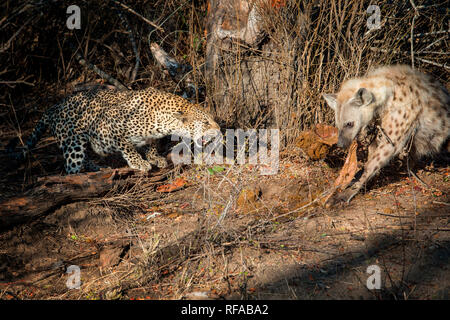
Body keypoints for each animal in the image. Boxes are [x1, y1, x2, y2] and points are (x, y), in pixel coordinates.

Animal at [21, 86, 221, 174]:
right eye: (205, 122)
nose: (219, 129)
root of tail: (53, 108)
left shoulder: (151, 136)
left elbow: (151, 144)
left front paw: (155, 157)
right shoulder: (112, 126)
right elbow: (128, 147)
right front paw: (139, 162)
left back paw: (97, 168)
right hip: (73, 143)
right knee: (71, 167)